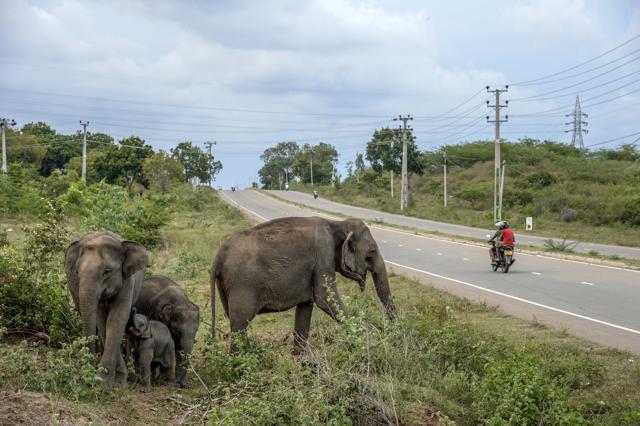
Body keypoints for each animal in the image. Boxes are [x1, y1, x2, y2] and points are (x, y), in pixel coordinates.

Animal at [65, 231, 149, 386]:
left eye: (107, 272)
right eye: (77, 272)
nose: (88, 369)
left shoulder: (127, 281)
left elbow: (116, 319)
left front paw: (110, 380)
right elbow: (102, 321)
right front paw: (110, 378)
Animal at [211, 217, 396, 353]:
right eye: (371, 252)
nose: (390, 331)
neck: (337, 223)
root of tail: (218, 257)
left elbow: (307, 305)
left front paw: (302, 357)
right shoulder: (323, 255)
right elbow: (324, 299)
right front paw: (371, 337)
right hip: (243, 285)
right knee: (240, 323)